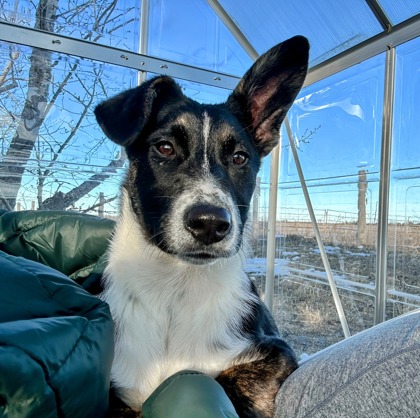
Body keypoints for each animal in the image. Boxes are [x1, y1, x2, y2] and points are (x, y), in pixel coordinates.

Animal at [95, 36, 308, 418]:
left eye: (240, 158)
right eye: (165, 148)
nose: (210, 223)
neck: (174, 291)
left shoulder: (276, 352)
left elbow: (224, 380)